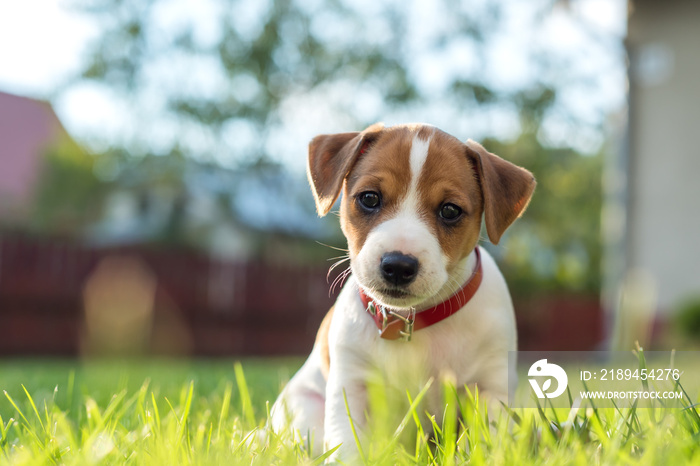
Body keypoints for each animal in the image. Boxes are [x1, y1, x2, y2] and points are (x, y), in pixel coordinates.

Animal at [270, 121, 536, 458]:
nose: (397, 265)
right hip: (303, 412)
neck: (411, 320)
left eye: (450, 210)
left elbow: (486, 445)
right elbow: (348, 447)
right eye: (369, 198)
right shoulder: (351, 385)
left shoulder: (491, 388)